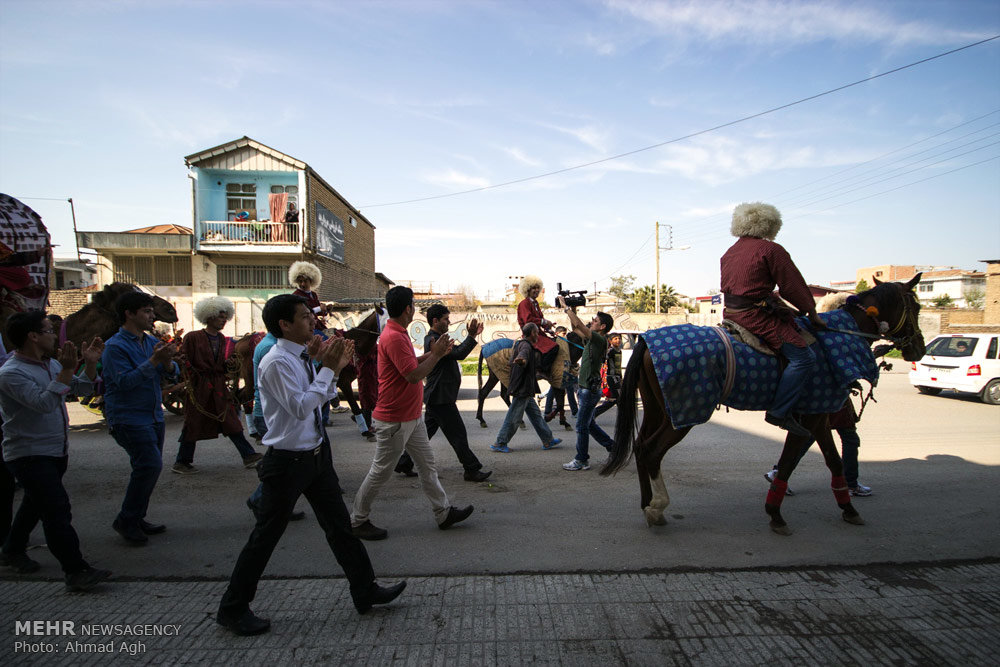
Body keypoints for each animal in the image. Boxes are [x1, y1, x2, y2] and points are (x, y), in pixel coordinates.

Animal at [600, 274, 920, 536]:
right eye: (915, 308)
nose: (918, 348)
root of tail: (646, 341)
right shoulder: (809, 418)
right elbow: (791, 462)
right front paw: (776, 514)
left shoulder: (816, 416)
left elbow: (832, 460)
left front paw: (848, 508)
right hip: (682, 414)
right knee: (652, 451)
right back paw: (656, 508)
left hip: (658, 408)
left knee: (641, 446)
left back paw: (647, 503)